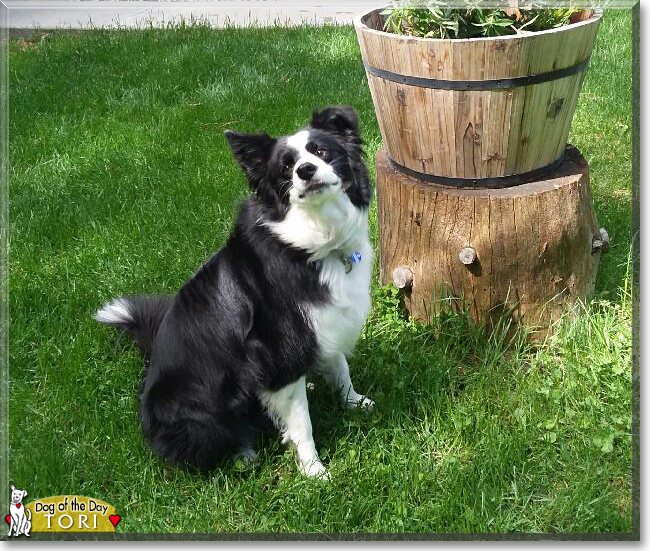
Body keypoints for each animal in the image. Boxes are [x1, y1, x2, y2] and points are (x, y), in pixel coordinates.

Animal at [93, 106, 372, 478]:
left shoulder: (326, 322)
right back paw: (243, 454)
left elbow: (340, 367)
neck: (313, 241)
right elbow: (302, 423)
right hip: (198, 421)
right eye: (286, 167)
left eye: (321, 151)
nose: (305, 170)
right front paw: (315, 471)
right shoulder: (277, 346)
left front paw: (355, 402)